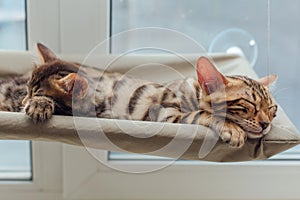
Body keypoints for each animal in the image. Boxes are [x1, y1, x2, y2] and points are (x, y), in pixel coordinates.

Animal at [1, 43, 278, 147]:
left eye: (272, 110)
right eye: (249, 105)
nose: (266, 124)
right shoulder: (165, 114)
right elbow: (200, 114)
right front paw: (232, 128)